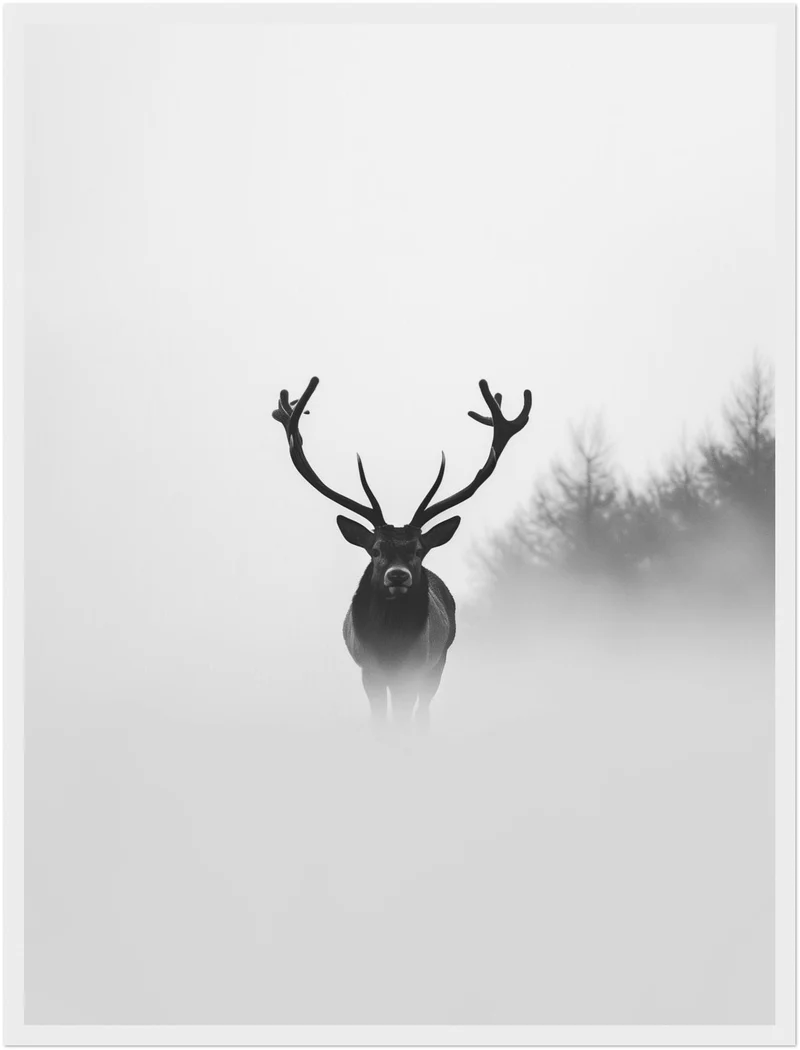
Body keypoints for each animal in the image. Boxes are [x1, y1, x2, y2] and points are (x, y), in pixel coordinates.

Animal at [272, 377, 531, 726]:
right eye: (376, 549)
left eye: (420, 550)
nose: (398, 575)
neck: (390, 646)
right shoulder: (368, 669)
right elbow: (381, 721)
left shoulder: (417, 667)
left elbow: (404, 718)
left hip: (438, 661)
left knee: (422, 712)